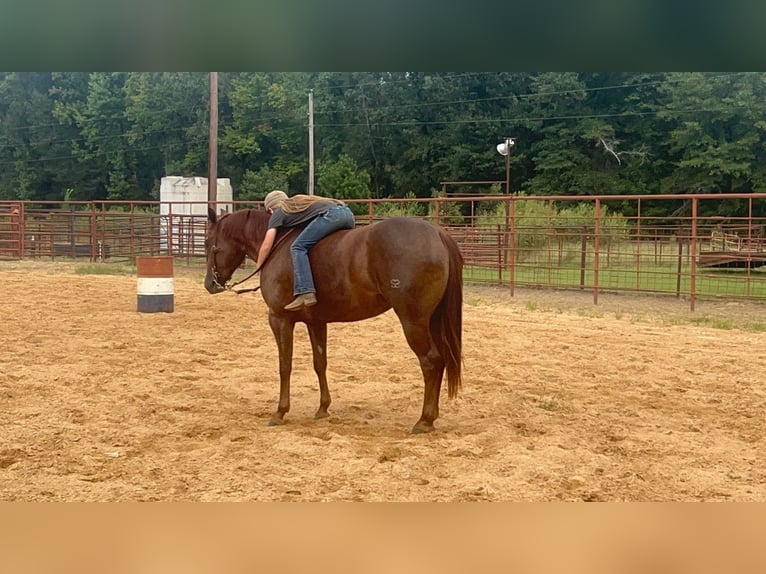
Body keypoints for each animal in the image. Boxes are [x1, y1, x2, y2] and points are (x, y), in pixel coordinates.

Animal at [204, 209, 464, 434]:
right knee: (441, 360)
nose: (209, 284)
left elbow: (284, 366)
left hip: (414, 322)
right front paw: (323, 408)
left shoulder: (279, 319)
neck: (279, 246)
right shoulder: (316, 322)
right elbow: (320, 363)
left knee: (430, 362)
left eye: (208, 243)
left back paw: (424, 420)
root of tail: (437, 233)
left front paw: (280, 412)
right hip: (433, 321)